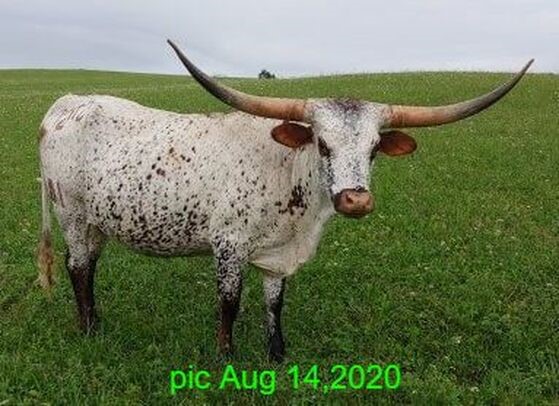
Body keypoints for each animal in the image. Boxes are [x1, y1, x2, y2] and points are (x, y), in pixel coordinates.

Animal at [37, 39, 532, 362]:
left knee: (90, 266)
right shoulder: (228, 244)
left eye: (374, 148)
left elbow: (275, 303)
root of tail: (66, 103)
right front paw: (226, 357)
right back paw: (87, 331)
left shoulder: (279, 254)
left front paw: (277, 354)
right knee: (77, 267)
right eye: (322, 144)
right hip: (71, 212)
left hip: (100, 220)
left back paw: (97, 321)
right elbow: (230, 301)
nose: (355, 200)